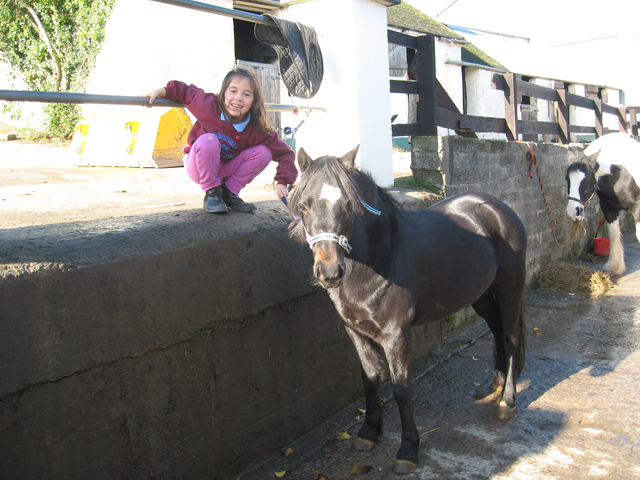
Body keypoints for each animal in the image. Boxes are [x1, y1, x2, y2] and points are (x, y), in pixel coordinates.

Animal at [288, 146, 527, 474]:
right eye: (303, 205)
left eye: (348, 204)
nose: (330, 271)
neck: (382, 255)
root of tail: (499, 207)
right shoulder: (356, 332)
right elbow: (371, 379)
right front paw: (368, 432)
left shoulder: (397, 335)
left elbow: (401, 389)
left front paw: (408, 450)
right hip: (480, 296)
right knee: (498, 331)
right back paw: (498, 382)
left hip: (509, 290)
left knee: (510, 338)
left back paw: (507, 401)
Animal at [565, 133, 640, 275]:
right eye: (567, 179)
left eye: (586, 179)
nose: (573, 211)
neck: (620, 176)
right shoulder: (608, 208)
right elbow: (613, 234)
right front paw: (613, 266)